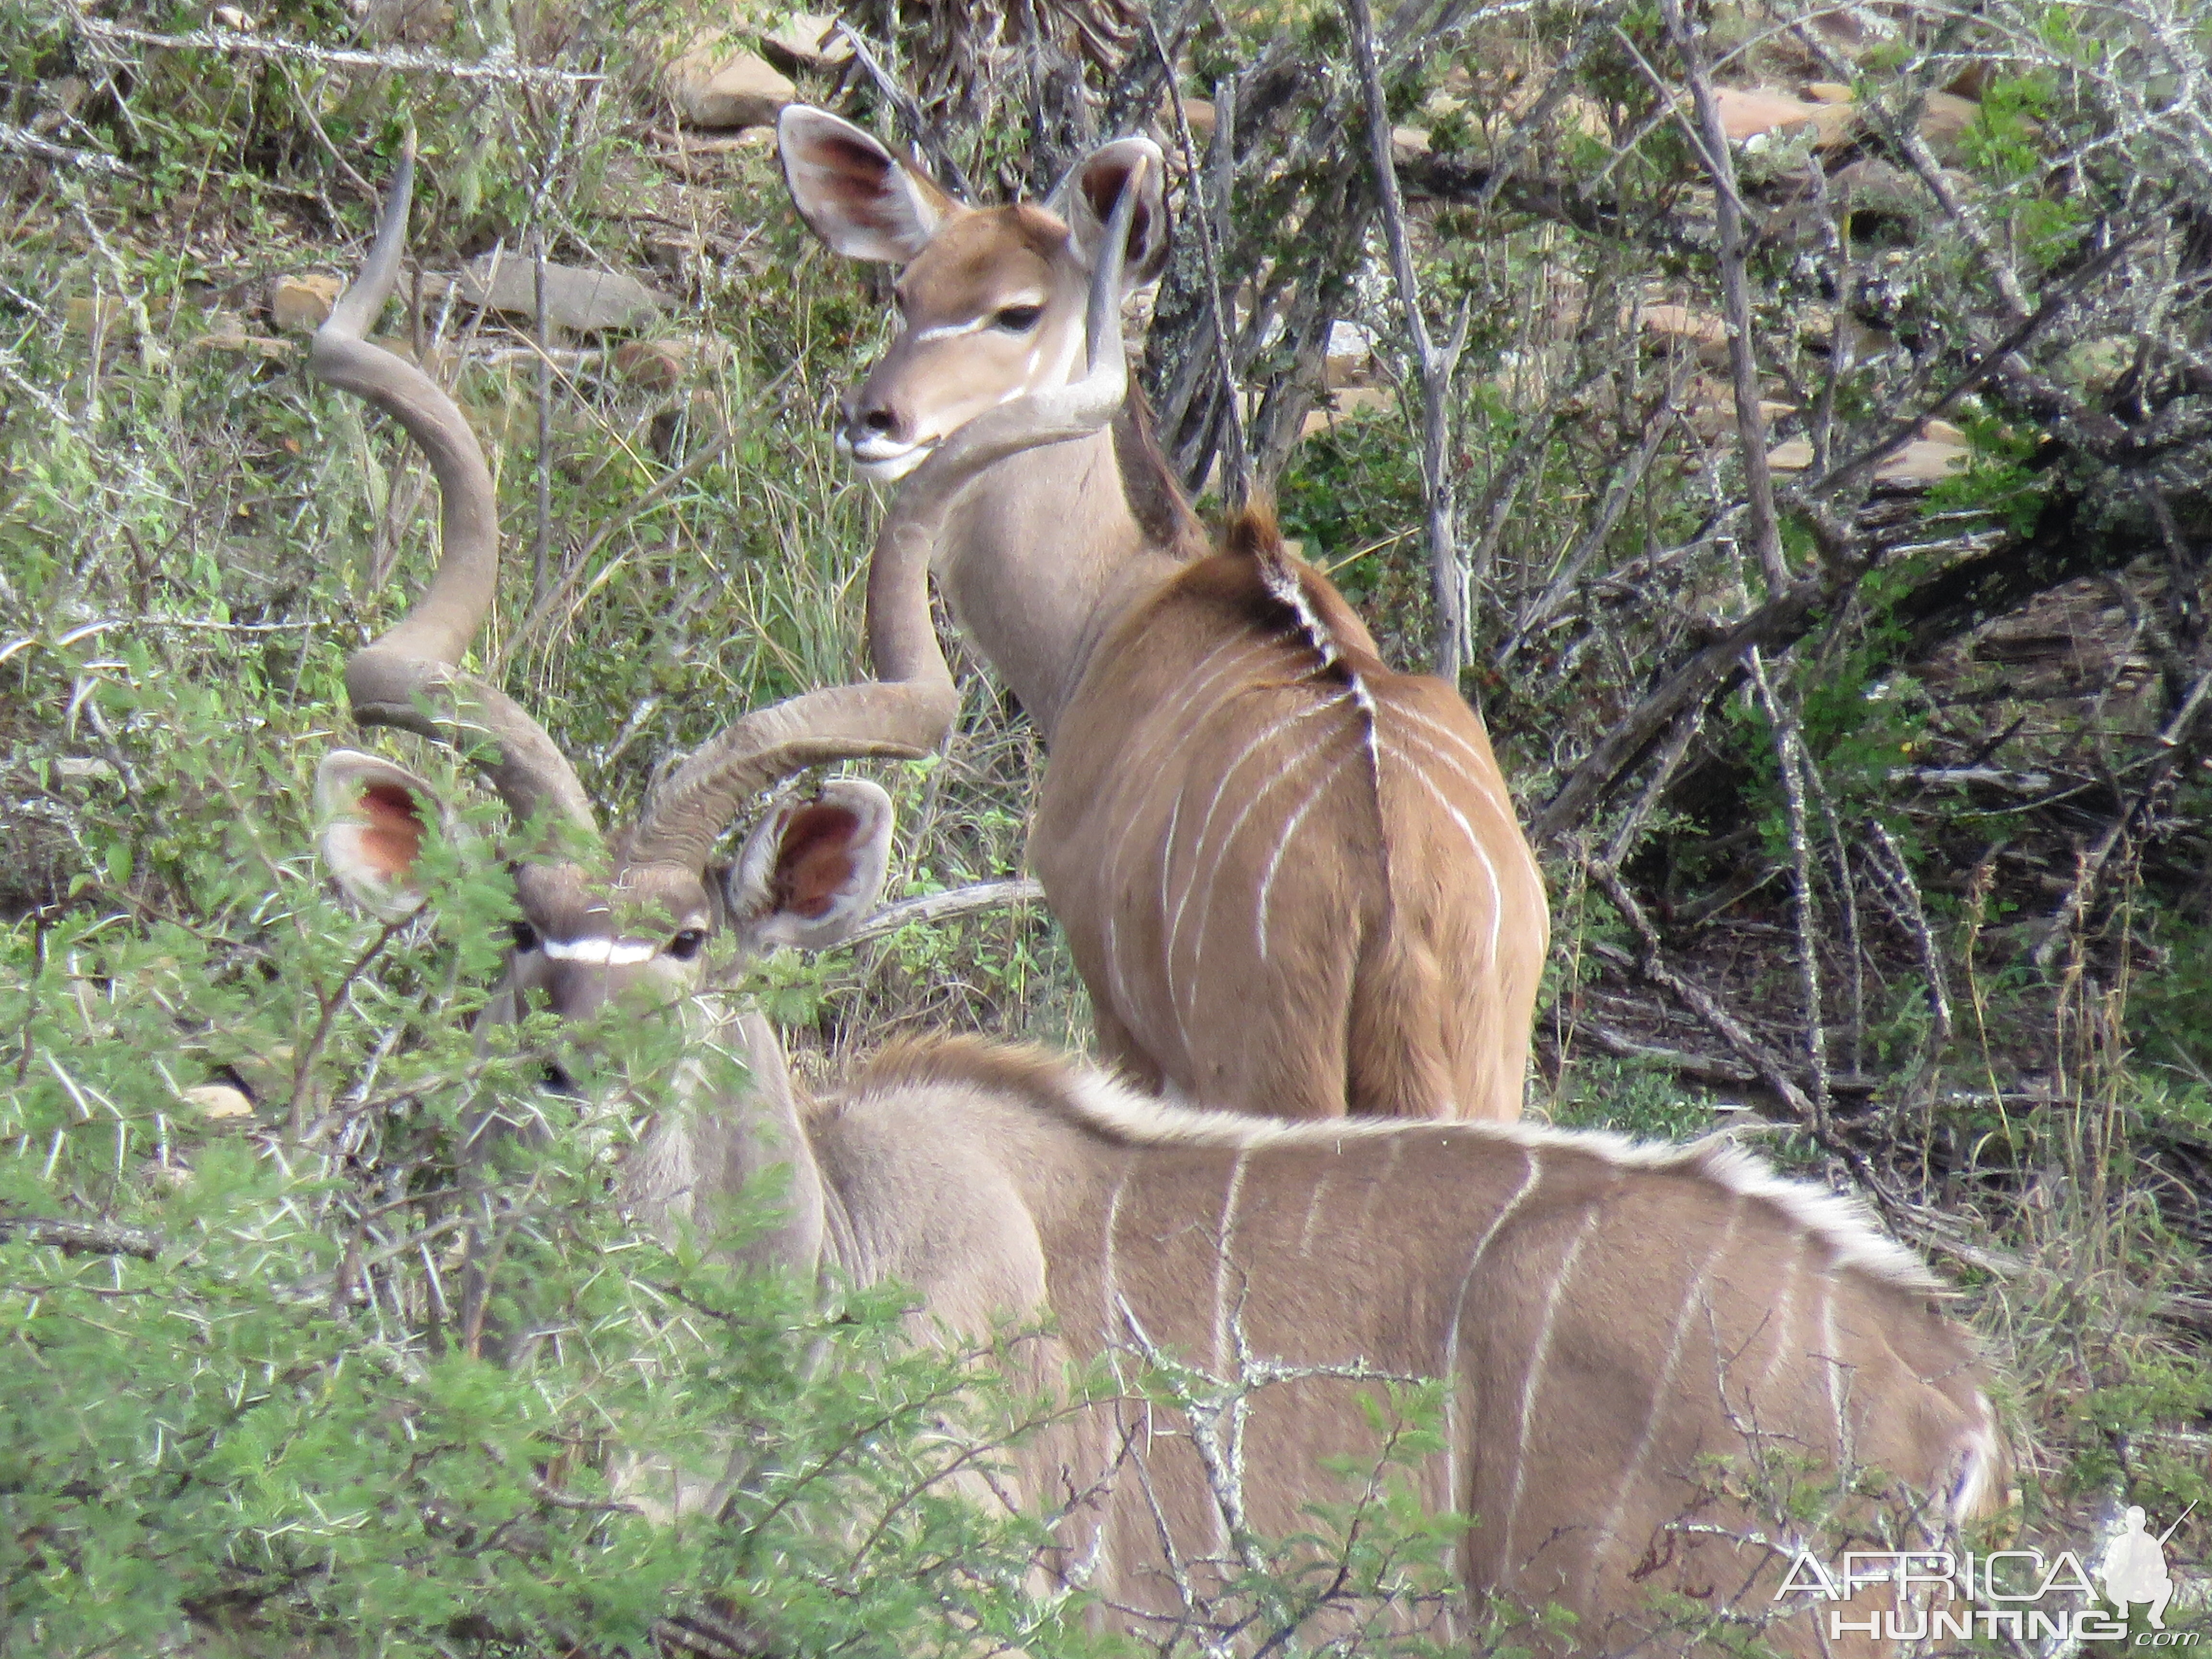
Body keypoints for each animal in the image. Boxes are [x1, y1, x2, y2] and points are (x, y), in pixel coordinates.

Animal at [779, 110, 1557, 1132]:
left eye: (1017, 312)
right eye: (906, 292)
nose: (871, 419)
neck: (1118, 605)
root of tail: (1393, 905)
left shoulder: (1123, 1025)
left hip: (1269, 1077)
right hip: (1481, 1080)